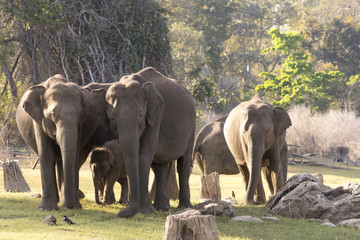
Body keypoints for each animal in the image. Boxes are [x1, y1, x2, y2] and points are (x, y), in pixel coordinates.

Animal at [15, 75, 107, 210]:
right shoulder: (38, 122)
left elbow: (74, 155)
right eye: (53, 115)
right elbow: (46, 154)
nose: (70, 206)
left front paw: (75, 207)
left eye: (80, 115)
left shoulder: (81, 126)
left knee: (61, 160)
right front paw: (46, 209)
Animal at [105, 66, 195, 217]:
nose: (120, 213)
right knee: (160, 167)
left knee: (184, 164)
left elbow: (144, 154)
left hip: (192, 125)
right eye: (112, 118)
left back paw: (184, 207)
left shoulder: (156, 116)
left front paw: (145, 211)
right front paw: (145, 210)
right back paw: (162, 208)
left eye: (141, 115)